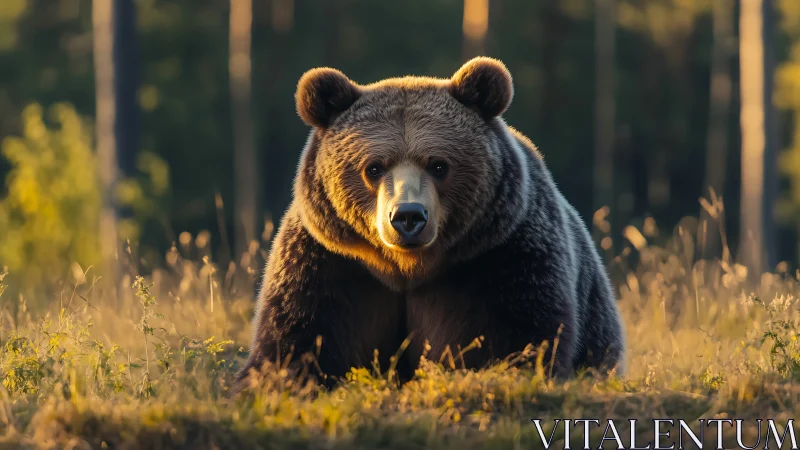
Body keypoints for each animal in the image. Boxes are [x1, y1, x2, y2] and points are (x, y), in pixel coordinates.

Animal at [236, 57, 625, 390]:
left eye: (439, 165)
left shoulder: (503, 255)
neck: (408, 268)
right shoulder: (330, 263)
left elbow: (520, 337)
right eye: (373, 167)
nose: (408, 216)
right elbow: (298, 338)